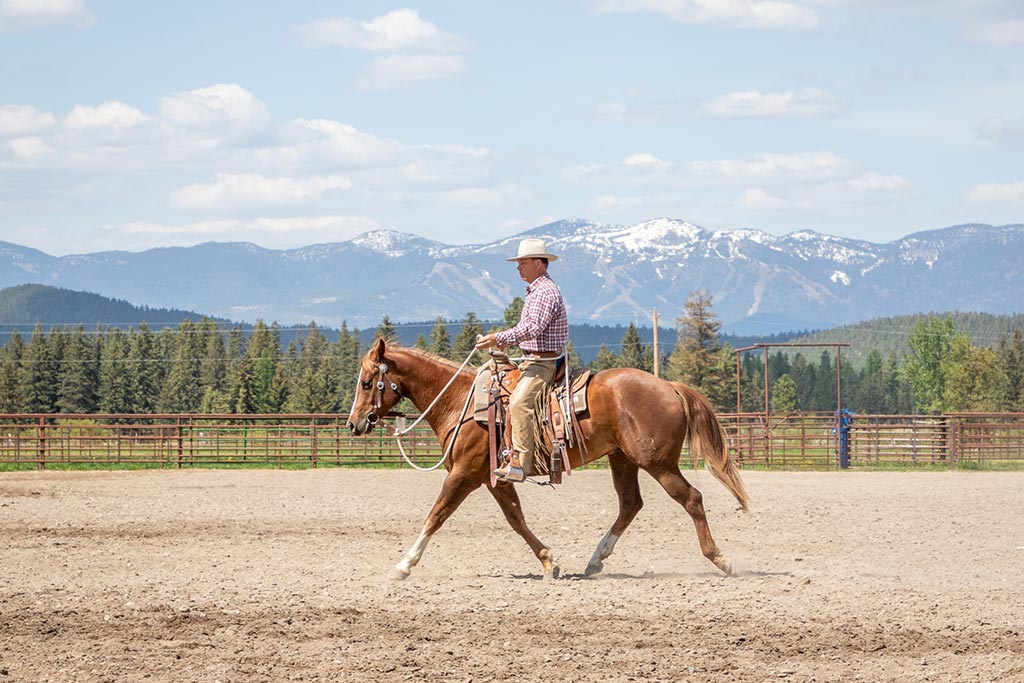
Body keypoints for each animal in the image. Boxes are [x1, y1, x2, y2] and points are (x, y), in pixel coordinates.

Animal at [348, 339, 749, 581]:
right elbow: (516, 519)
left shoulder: (463, 473)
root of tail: (670, 387)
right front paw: (547, 560)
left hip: (658, 462)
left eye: (368, 383)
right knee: (630, 504)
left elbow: (436, 514)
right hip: (623, 459)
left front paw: (403, 564)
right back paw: (595, 560)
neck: (460, 400)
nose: (354, 424)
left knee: (691, 498)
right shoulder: (495, 476)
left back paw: (720, 558)